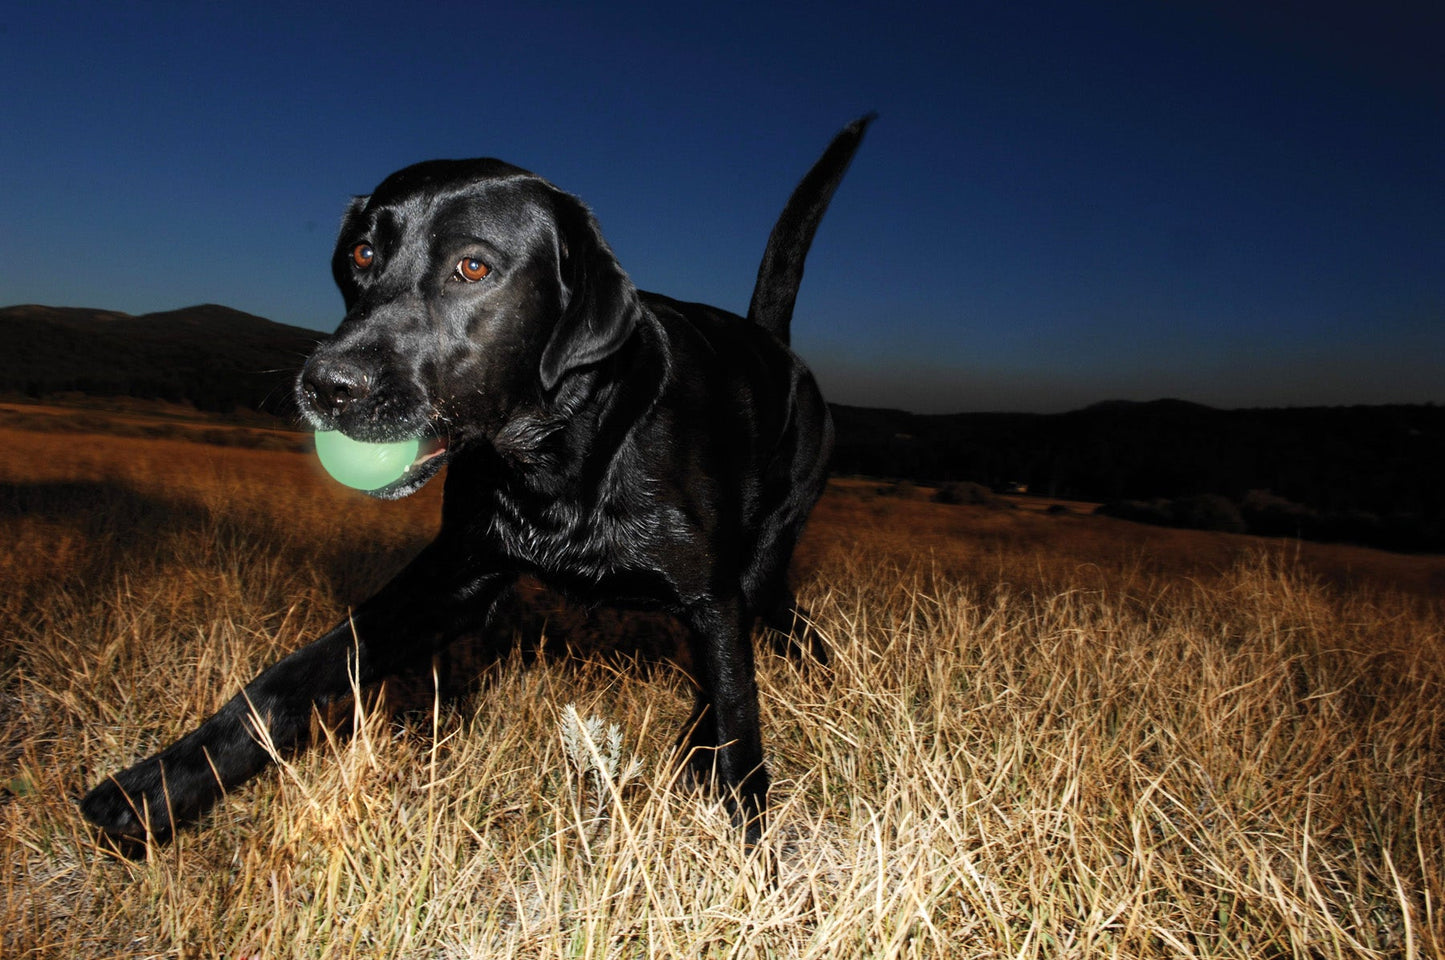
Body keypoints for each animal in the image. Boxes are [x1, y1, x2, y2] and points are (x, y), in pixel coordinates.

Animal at [84, 114, 872, 850]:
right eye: (362, 254)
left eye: (472, 267)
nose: (326, 386)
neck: (553, 456)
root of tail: (775, 346)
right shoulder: (454, 575)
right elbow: (291, 677)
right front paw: (154, 787)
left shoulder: (711, 599)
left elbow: (738, 722)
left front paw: (753, 856)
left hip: (767, 551)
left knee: (768, 633)